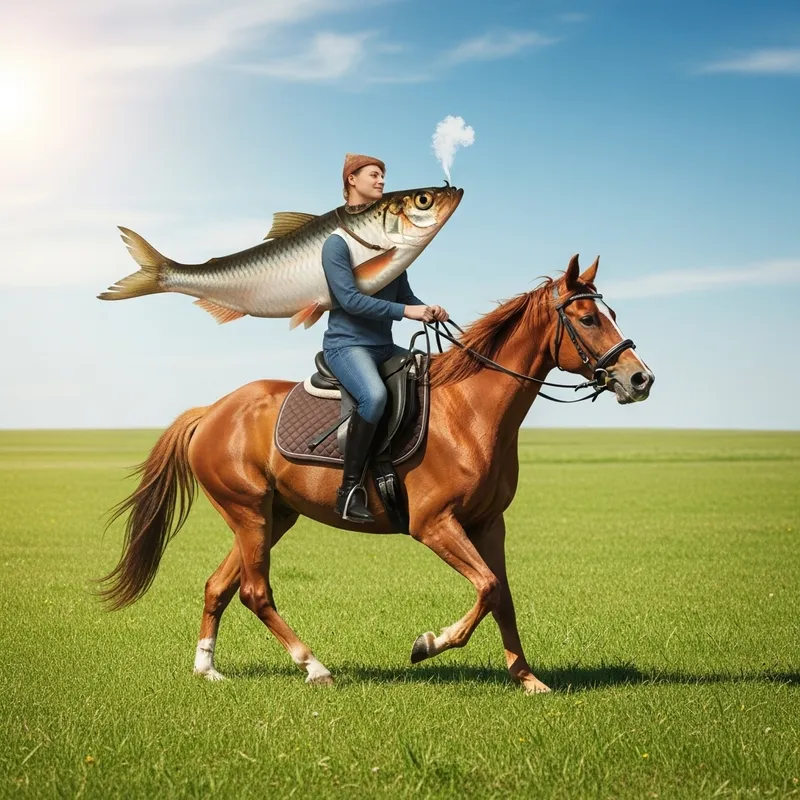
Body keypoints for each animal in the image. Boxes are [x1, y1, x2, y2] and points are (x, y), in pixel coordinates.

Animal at [99, 254, 654, 694]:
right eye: (587, 318)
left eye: (611, 314)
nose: (640, 378)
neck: (470, 411)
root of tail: (212, 411)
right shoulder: (434, 524)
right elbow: (488, 587)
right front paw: (429, 643)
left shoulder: (488, 524)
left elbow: (503, 595)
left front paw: (528, 679)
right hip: (249, 513)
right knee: (256, 593)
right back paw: (314, 667)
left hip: (272, 517)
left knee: (219, 585)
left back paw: (207, 669)